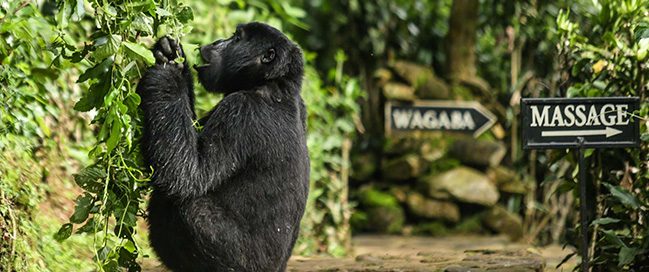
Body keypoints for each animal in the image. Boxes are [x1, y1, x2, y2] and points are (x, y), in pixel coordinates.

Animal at [136, 22, 308, 270]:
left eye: (236, 38)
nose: (218, 42)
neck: (270, 83)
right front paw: (170, 54)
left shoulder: (240, 112)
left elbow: (188, 173)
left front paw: (167, 75)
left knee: (190, 209)